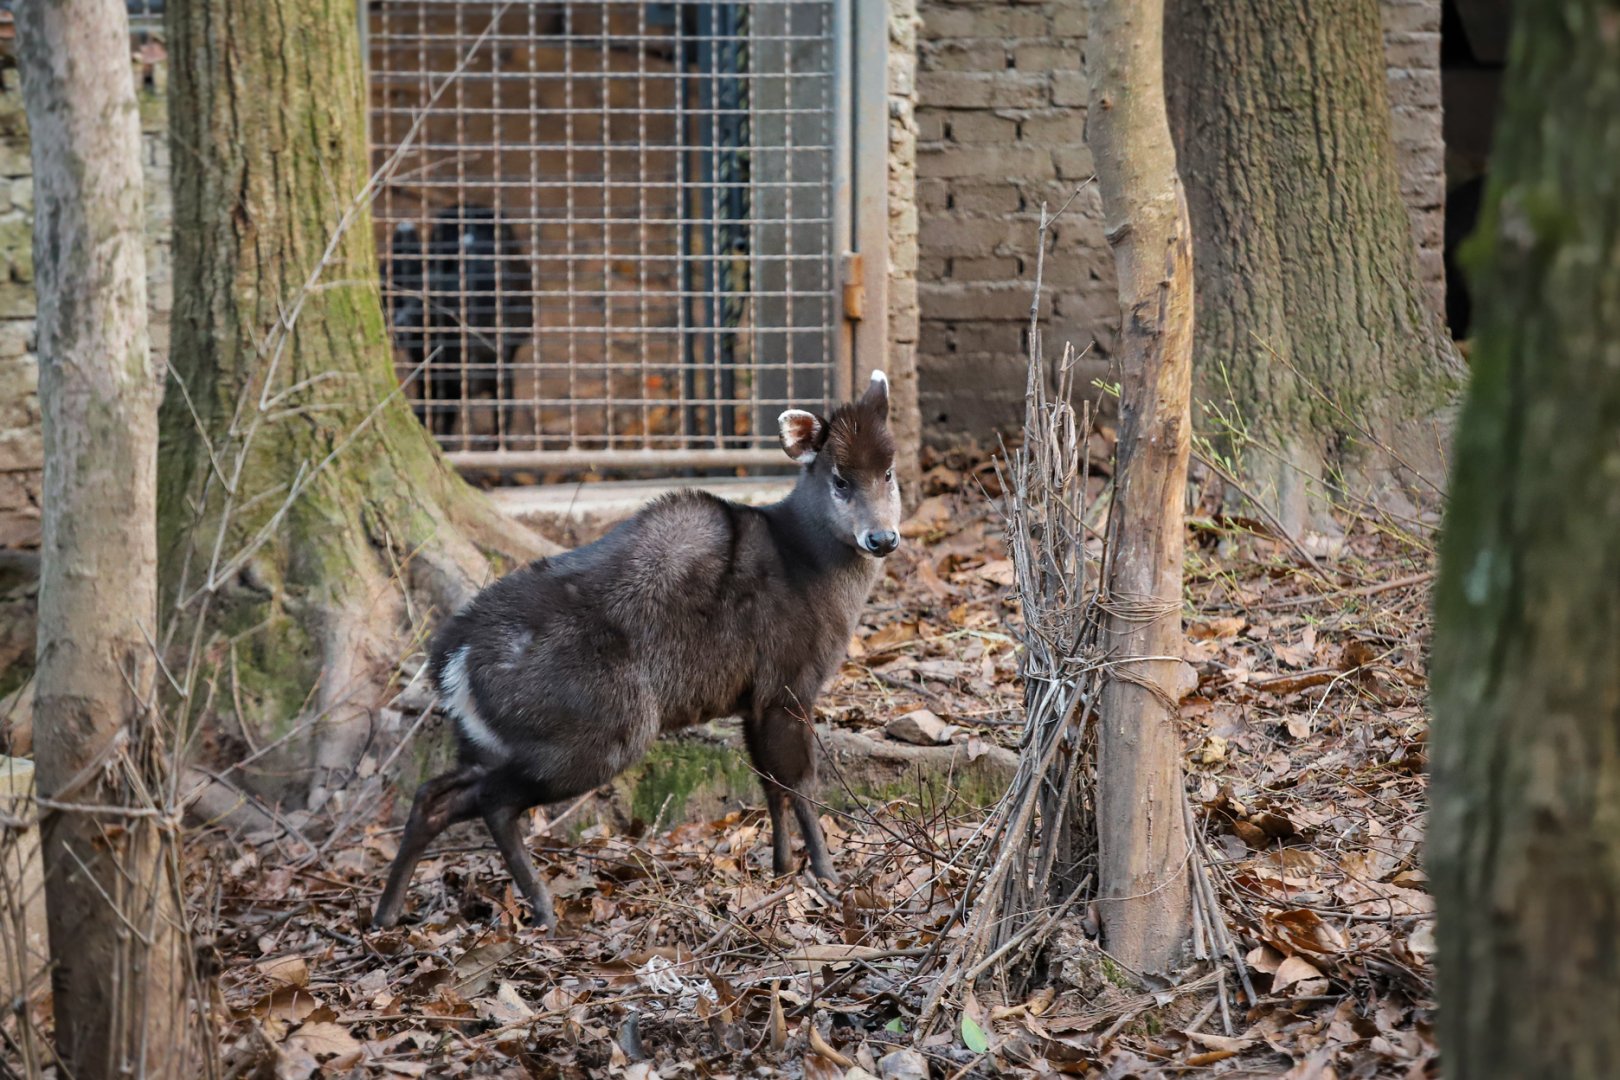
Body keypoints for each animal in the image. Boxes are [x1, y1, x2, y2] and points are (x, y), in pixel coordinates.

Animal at [371, 371, 903, 930]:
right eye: (840, 479)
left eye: (888, 471)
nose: (882, 537)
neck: (808, 565)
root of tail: (452, 660)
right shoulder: (787, 683)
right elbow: (799, 783)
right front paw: (826, 874)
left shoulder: (752, 699)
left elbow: (768, 784)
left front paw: (780, 871)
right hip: (601, 731)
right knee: (492, 802)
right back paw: (543, 909)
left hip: (490, 739)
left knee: (433, 793)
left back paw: (386, 914)